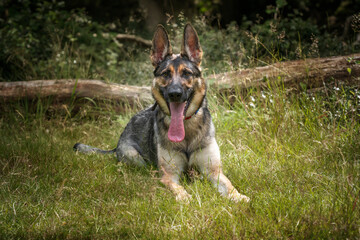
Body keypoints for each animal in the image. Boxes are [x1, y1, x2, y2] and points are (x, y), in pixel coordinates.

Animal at [74, 23, 249, 202]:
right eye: (166, 74)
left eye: (187, 73)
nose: (175, 94)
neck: (186, 130)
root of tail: (116, 146)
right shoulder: (169, 176)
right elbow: (178, 188)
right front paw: (186, 198)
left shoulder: (214, 171)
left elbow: (229, 185)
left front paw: (239, 197)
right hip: (134, 157)